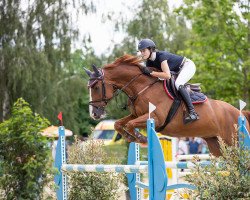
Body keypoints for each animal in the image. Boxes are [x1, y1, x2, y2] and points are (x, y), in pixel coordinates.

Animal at [85, 54, 249, 156]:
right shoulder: (137, 114)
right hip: (216, 144)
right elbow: (118, 124)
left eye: (96, 87)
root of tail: (240, 113)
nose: (94, 114)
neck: (142, 87)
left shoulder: (156, 118)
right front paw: (131, 138)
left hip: (233, 141)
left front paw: (141, 139)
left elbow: (130, 124)